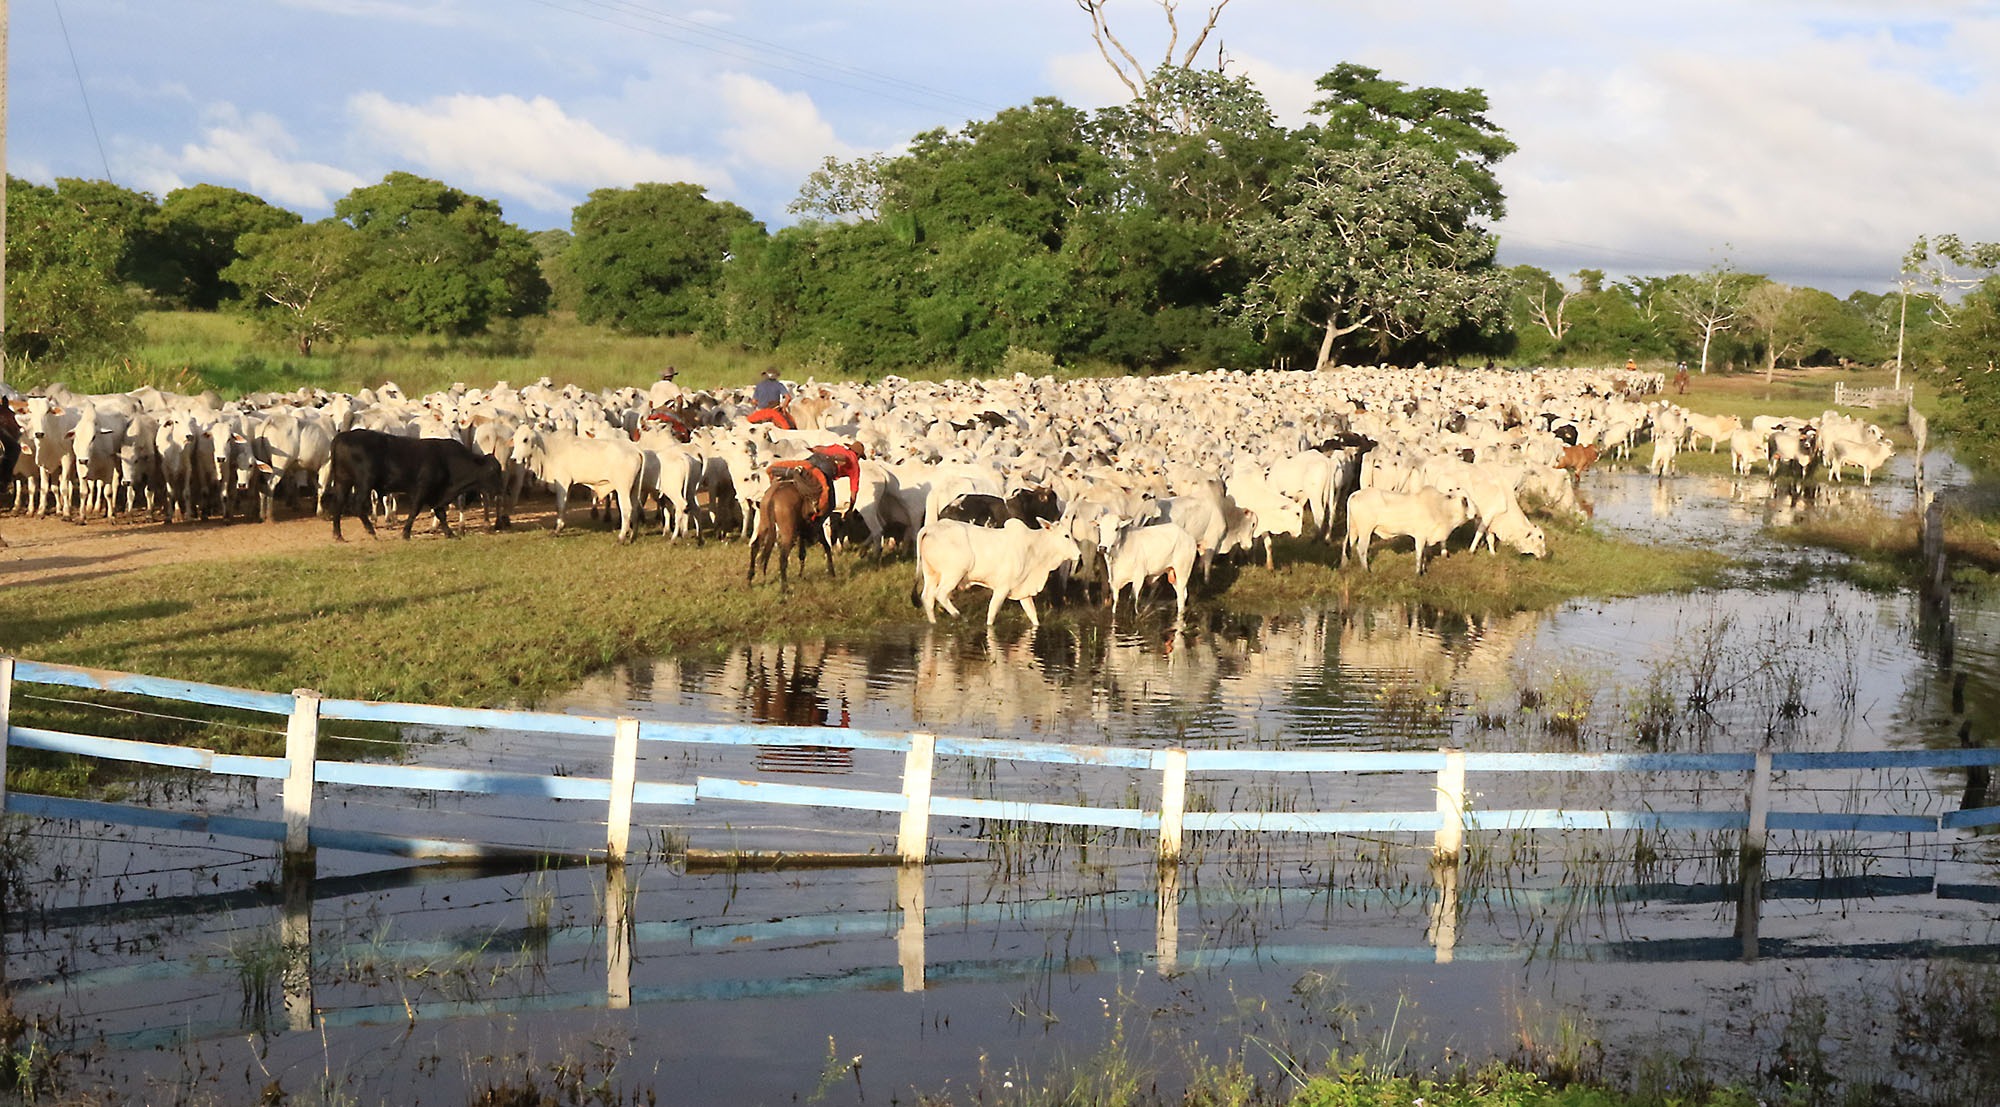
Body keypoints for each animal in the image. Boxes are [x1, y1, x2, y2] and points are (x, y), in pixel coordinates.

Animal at [328, 425, 508, 539]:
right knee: (357, 505)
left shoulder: (436, 494)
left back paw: (338, 535)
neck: (446, 460)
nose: (500, 490)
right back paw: (371, 530)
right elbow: (415, 511)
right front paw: (406, 533)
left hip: (343, 481)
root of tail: (342, 436)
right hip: (364, 482)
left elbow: (440, 513)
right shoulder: (422, 490)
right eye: (492, 471)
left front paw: (450, 533)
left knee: (338, 504)